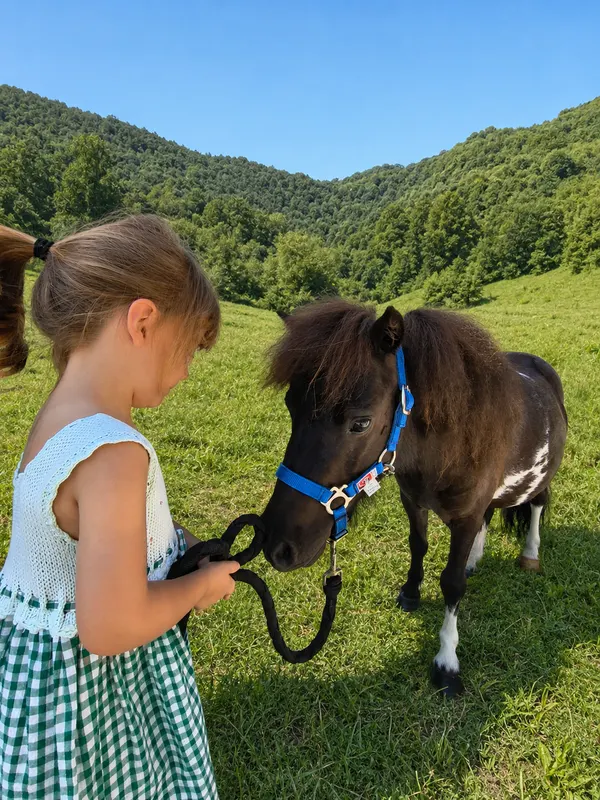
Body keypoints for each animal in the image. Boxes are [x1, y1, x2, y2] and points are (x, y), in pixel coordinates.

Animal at [261, 299, 568, 696]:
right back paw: (475, 559)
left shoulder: (465, 517)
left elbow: (452, 583)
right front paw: (411, 592)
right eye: (290, 406)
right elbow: (418, 545)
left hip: (542, 475)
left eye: (361, 422)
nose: (278, 546)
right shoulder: (413, 499)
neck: (449, 444)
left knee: (537, 504)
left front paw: (447, 662)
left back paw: (530, 555)